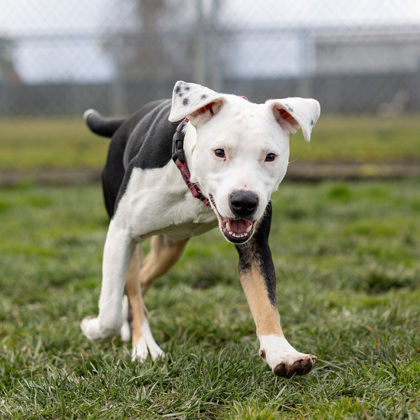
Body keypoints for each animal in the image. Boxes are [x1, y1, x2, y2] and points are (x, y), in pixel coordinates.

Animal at [81, 81, 321, 378]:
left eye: (270, 156)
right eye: (219, 152)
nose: (244, 202)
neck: (192, 187)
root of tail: (125, 122)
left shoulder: (255, 245)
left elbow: (266, 301)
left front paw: (283, 354)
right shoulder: (121, 233)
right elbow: (110, 312)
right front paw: (93, 328)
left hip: (170, 248)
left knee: (142, 280)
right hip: (133, 239)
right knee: (133, 287)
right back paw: (144, 346)